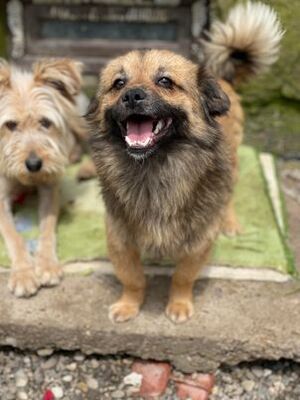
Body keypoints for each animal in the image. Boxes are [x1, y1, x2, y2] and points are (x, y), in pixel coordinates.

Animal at [0, 58, 86, 296]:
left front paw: (47, 264)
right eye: (10, 125)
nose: (34, 165)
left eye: (46, 122)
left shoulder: (49, 187)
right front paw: (23, 273)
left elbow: (47, 228)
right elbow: (13, 236)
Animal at [88, 2, 282, 322]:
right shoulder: (119, 236)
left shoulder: (200, 241)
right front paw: (129, 304)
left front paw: (178, 304)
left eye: (165, 81)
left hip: (232, 166)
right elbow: (133, 277)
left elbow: (182, 276)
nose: (132, 95)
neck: (154, 170)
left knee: (228, 195)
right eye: (118, 84)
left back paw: (230, 221)